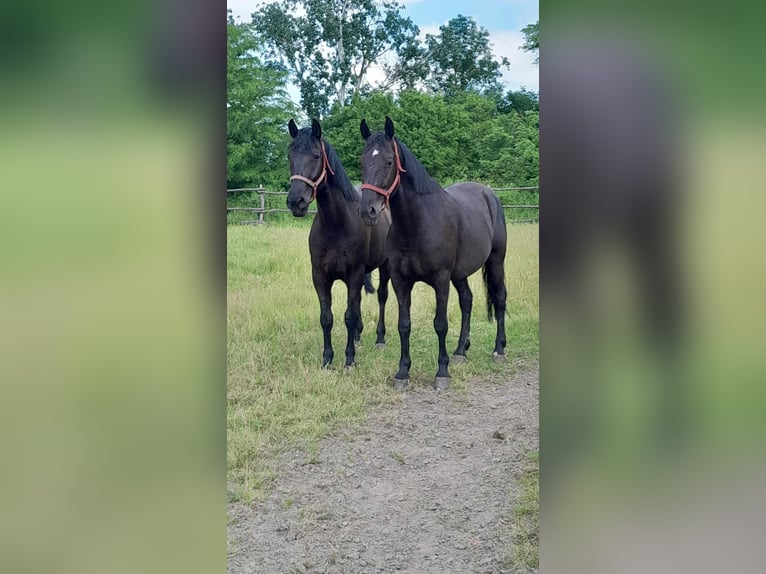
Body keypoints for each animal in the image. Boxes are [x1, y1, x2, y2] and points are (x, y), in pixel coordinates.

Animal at [360, 119, 510, 394]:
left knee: (500, 297)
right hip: (460, 274)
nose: (368, 211)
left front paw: (442, 372)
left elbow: (440, 324)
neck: (417, 223)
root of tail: (489, 194)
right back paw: (461, 351)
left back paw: (499, 350)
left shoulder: (441, 280)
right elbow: (404, 325)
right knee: (467, 300)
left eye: (389, 161)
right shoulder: (400, 281)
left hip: (495, 261)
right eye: (362, 160)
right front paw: (402, 373)